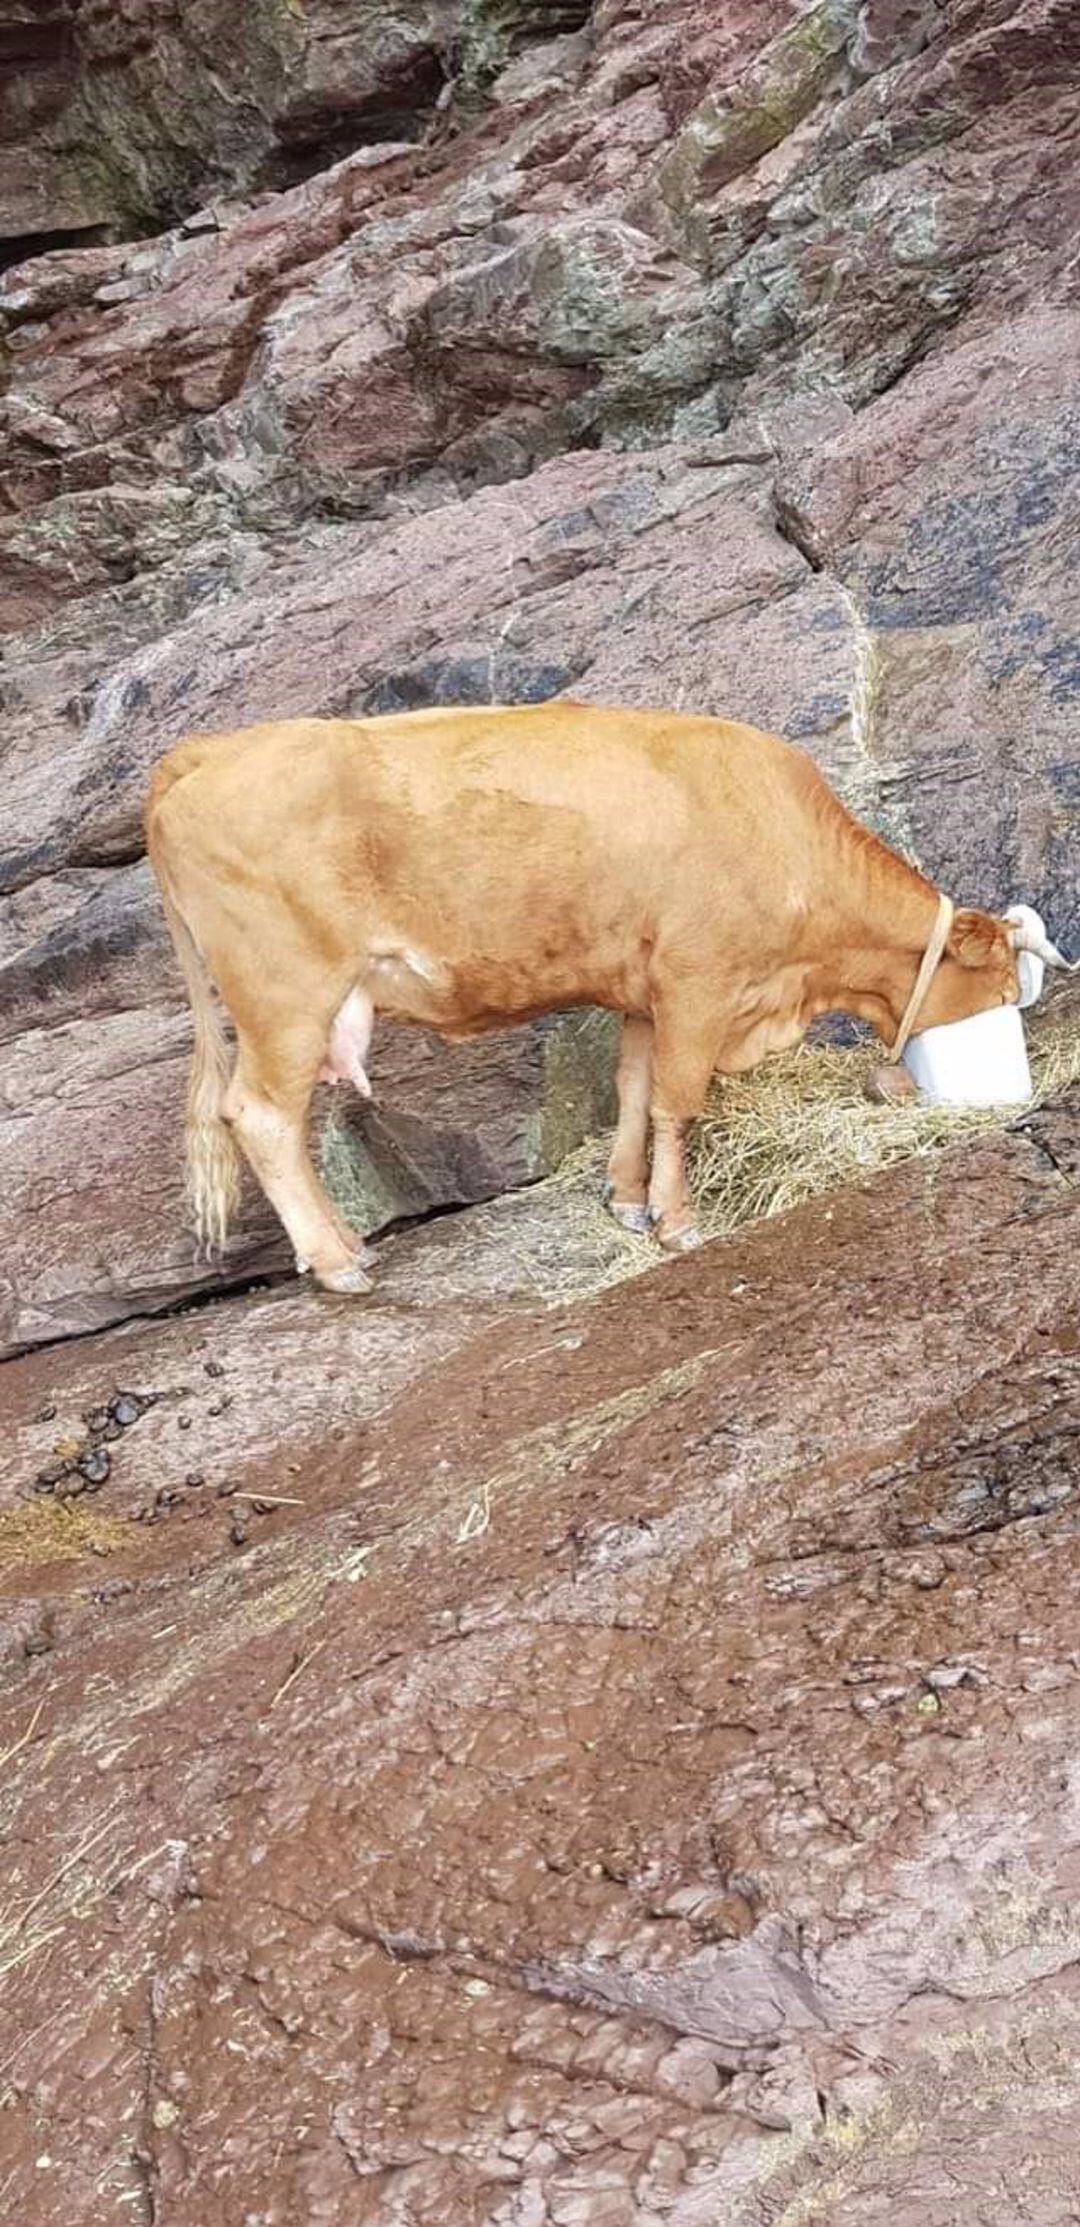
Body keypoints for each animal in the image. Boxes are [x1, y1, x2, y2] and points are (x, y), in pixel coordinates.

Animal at [140, 703, 1042, 1300]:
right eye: (1001, 989)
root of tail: (210, 751)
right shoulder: (698, 981)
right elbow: (679, 1102)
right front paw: (678, 1221)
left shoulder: (645, 991)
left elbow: (634, 1092)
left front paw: (629, 1200)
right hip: (286, 994)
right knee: (260, 1115)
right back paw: (337, 1264)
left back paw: (345, 1241)